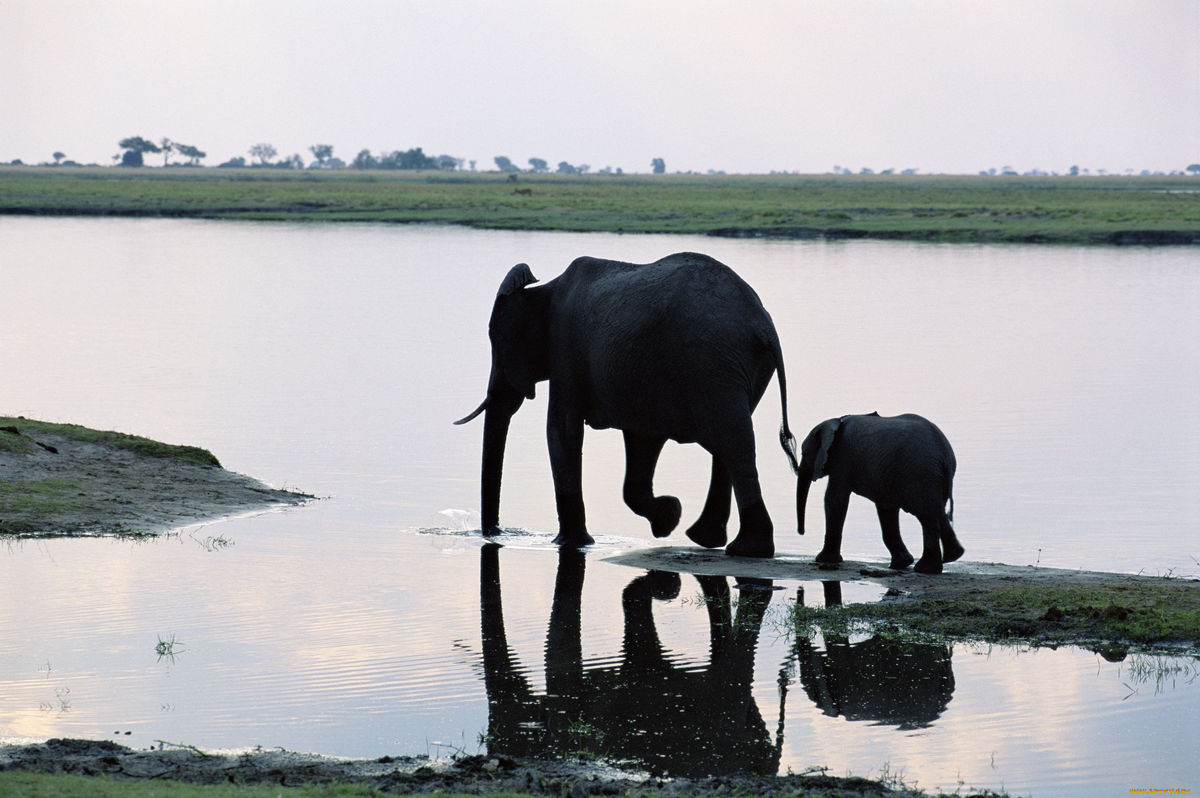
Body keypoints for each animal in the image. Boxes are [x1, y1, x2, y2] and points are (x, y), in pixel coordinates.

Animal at [453, 252, 801, 556]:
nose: (494, 534)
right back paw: (712, 540)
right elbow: (642, 441)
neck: (544, 290)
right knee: (730, 441)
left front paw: (571, 543)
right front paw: (669, 516)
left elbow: (561, 431)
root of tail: (761, 323)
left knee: (731, 441)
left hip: (714, 364)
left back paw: (745, 549)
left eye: (494, 343)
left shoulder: (565, 349)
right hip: (735, 368)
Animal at [796, 410, 964, 573]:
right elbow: (886, 508)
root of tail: (943, 454)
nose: (801, 532)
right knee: (937, 512)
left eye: (804, 454)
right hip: (931, 477)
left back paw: (926, 569)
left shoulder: (842, 458)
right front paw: (901, 563)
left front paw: (824, 560)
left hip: (921, 474)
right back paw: (953, 556)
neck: (836, 420)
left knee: (927, 516)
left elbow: (834, 499)